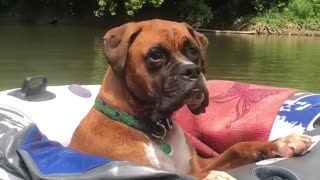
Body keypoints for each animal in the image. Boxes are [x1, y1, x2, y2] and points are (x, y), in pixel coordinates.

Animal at [69, 19, 312, 179]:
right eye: (156, 55)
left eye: (193, 51)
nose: (192, 70)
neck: (156, 131)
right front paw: (216, 176)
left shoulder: (200, 165)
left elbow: (238, 147)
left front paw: (282, 143)